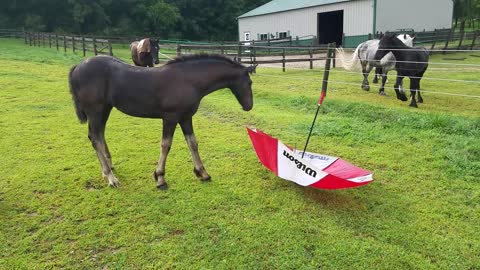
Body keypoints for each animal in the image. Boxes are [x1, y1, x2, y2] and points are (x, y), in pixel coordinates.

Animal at [69, 54, 256, 190]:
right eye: (249, 82)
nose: (249, 106)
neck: (188, 80)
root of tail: (78, 67)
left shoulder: (186, 117)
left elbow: (193, 143)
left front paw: (202, 173)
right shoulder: (170, 118)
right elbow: (166, 145)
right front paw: (160, 178)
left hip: (105, 110)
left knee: (99, 135)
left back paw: (107, 168)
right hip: (95, 110)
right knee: (95, 137)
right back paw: (111, 178)